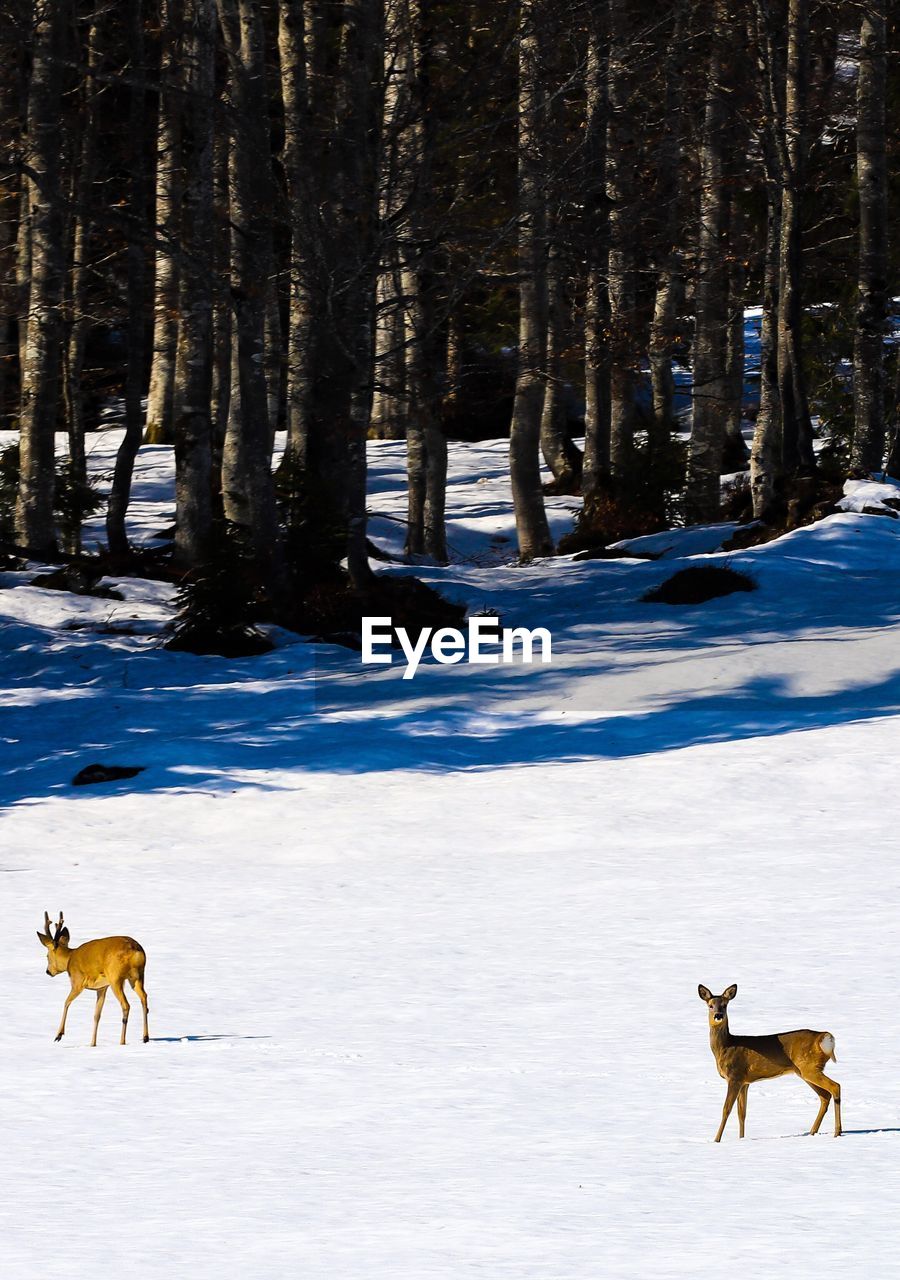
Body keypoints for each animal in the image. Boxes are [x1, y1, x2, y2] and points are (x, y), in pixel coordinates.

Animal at [37, 911, 149, 1039]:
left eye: (47, 956)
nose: (48, 971)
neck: (69, 958)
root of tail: (136, 950)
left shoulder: (77, 982)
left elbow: (66, 1002)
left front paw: (59, 1035)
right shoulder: (101, 988)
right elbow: (96, 1015)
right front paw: (92, 1042)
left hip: (115, 978)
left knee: (126, 1005)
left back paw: (122, 1041)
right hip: (138, 976)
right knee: (144, 997)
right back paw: (145, 1037)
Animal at [701, 977, 839, 1141]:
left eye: (725, 1005)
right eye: (710, 1005)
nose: (718, 1015)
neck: (726, 1046)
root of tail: (824, 1037)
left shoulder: (735, 1076)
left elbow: (726, 1109)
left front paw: (716, 1140)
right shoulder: (745, 1082)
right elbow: (742, 1113)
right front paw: (741, 1139)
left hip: (809, 1067)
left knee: (835, 1087)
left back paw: (837, 1132)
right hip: (804, 1071)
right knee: (825, 1096)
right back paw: (812, 1132)